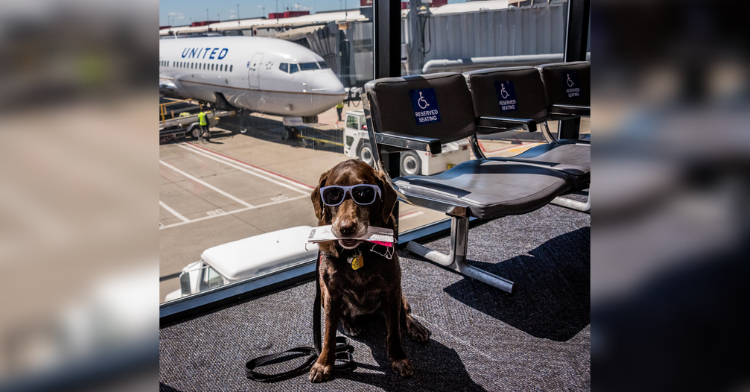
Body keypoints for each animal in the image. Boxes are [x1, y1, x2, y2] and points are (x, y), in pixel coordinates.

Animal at [310, 159, 432, 382]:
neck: (357, 252)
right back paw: (350, 324)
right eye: (333, 194)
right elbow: (329, 333)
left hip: (400, 294)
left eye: (363, 193)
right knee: (343, 315)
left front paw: (399, 358)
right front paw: (323, 364)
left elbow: (394, 331)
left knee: (404, 314)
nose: (346, 228)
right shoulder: (331, 292)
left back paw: (415, 327)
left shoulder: (392, 289)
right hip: (322, 295)